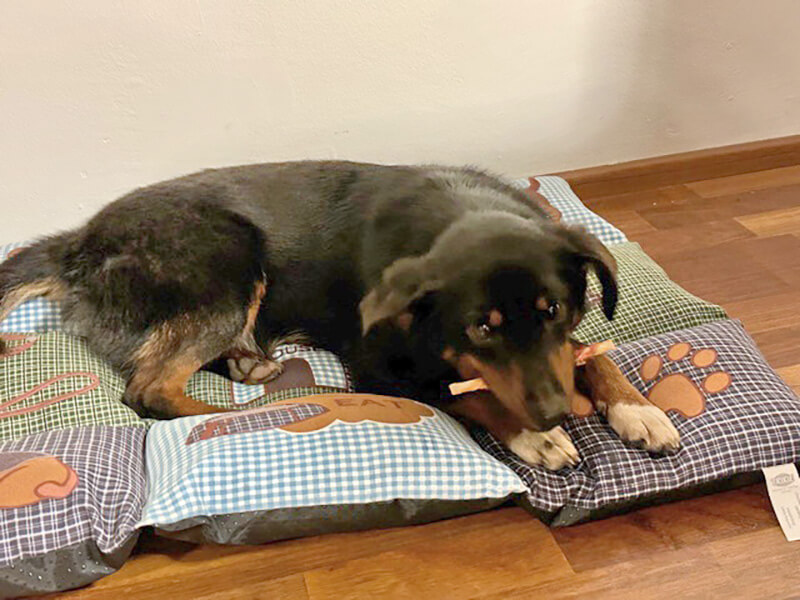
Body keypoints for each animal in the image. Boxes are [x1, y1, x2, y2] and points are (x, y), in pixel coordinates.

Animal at [0, 161, 679, 469]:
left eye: (555, 309)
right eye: (480, 328)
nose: (559, 413)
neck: (463, 212)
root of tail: (76, 243)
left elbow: (592, 356)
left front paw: (637, 407)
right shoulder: (383, 371)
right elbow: (476, 394)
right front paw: (533, 435)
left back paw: (249, 367)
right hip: (229, 261)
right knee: (149, 389)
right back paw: (247, 410)